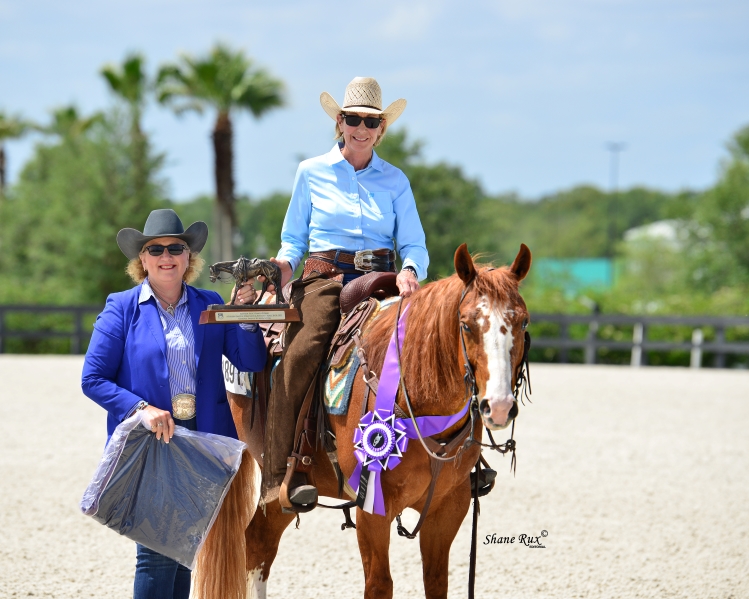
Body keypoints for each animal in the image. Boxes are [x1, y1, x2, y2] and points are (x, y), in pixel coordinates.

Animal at [193, 244, 532, 599]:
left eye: (523, 323)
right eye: (466, 325)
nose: (499, 406)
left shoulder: (449, 506)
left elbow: (436, 581)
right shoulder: (372, 508)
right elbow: (379, 584)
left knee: (259, 542)